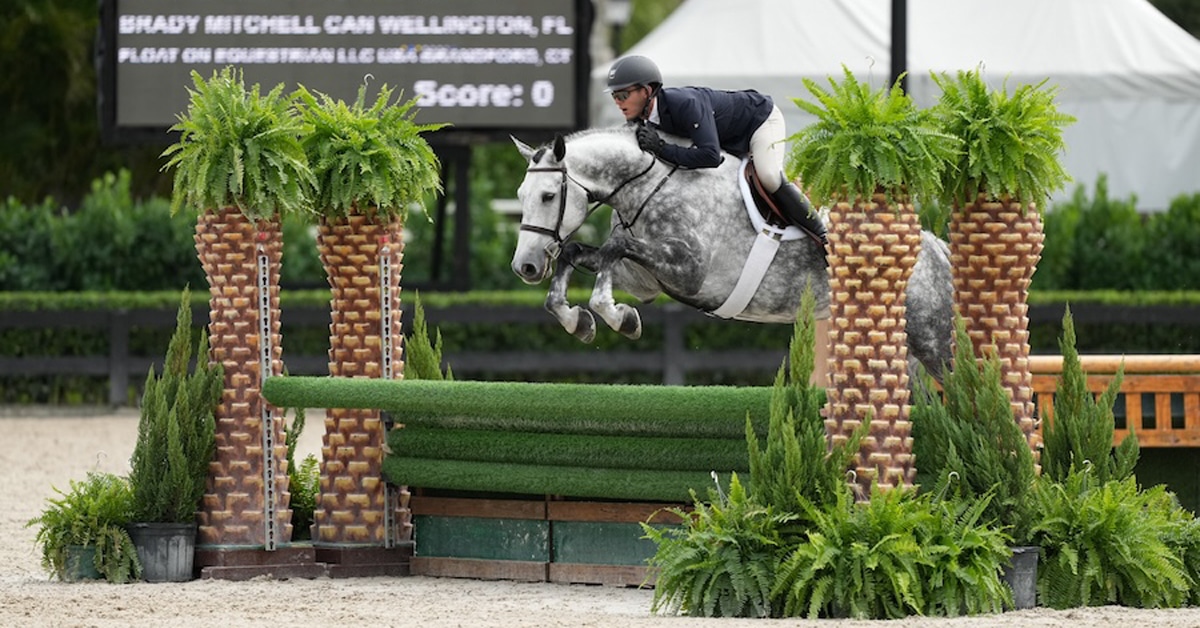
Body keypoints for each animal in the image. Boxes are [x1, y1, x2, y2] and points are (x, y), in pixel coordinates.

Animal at [509, 125, 954, 382]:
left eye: (548, 196)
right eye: (520, 194)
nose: (525, 267)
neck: (646, 185)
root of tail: (938, 250)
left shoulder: (688, 271)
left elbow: (613, 249)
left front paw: (616, 316)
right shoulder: (646, 280)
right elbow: (581, 252)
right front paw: (578, 321)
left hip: (934, 339)